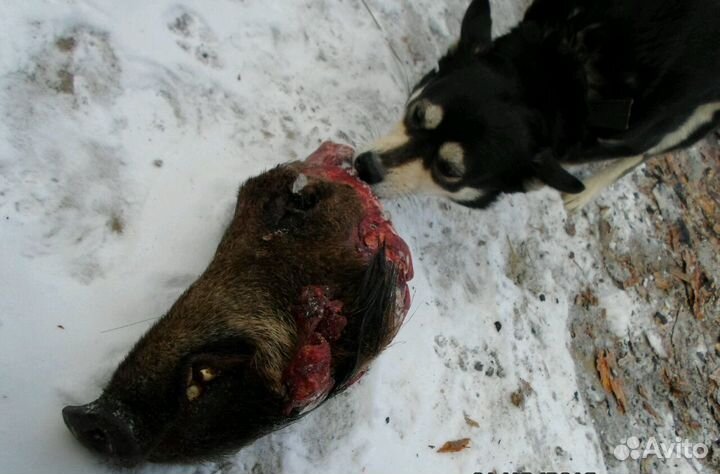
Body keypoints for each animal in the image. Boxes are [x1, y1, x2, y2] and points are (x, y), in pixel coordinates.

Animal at [354, 0, 720, 209]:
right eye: (417, 114)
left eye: (449, 171)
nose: (366, 167)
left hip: (693, 122)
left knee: (639, 157)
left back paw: (583, 195)